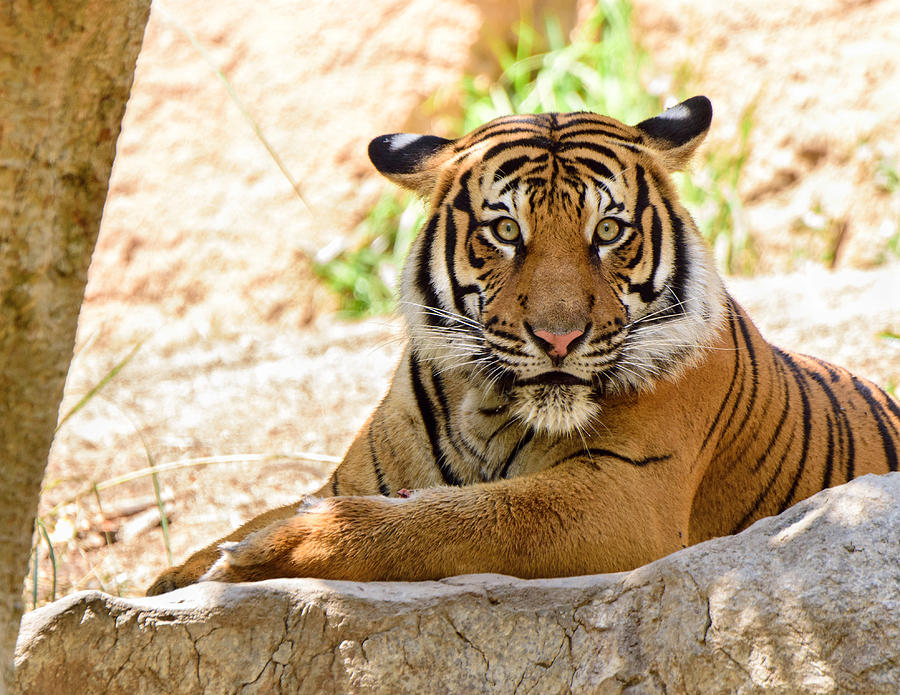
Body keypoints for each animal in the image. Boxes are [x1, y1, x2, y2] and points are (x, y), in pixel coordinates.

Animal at [148, 98, 900, 596]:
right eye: (506, 231)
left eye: (609, 231)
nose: (559, 336)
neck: (485, 405)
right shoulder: (350, 480)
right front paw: (180, 574)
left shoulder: (624, 496)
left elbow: (466, 519)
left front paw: (263, 555)